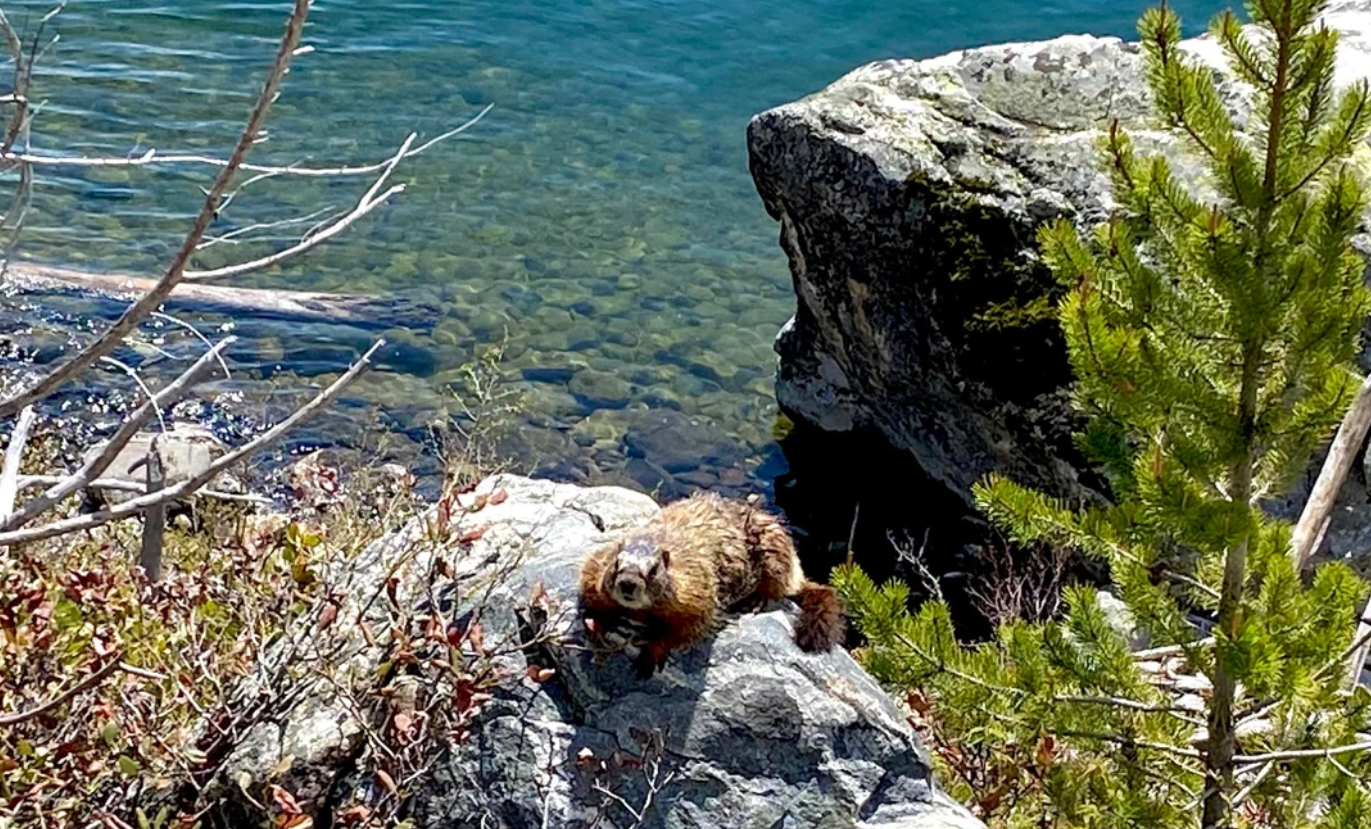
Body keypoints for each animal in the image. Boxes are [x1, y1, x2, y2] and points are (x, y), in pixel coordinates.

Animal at [579, 490, 845, 677]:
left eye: (653, 571)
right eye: (616, 564)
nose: (627, 583)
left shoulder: (697, 588)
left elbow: (692, 624)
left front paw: (652, 653)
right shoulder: (597, 566)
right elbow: (590, 588)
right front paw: (597, 624)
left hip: (773, 545)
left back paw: (755, 600)